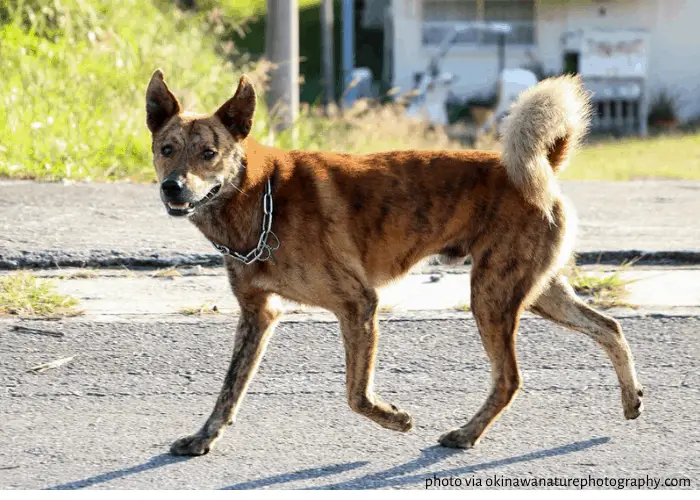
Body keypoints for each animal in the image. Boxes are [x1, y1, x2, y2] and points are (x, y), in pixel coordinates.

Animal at [145, 70, 644, 458]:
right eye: (167, 149)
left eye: (208, 153)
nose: (173, 188)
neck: (260, 195)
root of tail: (545, 163)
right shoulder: (258, 314)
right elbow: (229, 390)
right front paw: (203, 438)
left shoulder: (358, 304)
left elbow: (355, 393)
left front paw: (394, 418)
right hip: (536, 291)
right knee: (608, 327)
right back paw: (631, 398)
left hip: (491, 295)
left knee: (510, 379)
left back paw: (466, 434)